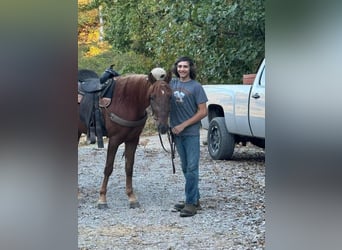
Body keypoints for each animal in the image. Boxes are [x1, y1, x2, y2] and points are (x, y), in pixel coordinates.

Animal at [79, 68, 172, 209]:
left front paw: (131, 197)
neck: (126, 101)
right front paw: (102, 198)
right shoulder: (114, 140)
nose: (163, 127)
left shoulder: (133, 140)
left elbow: (129, 167)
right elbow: (108, 168)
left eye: (170, 96)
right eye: (152, 97)